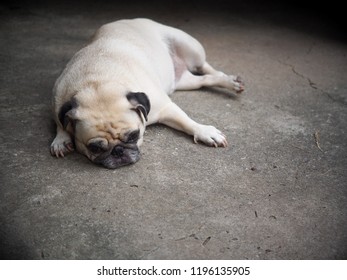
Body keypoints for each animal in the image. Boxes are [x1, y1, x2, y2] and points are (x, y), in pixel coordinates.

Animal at [51, 19, 245, 170]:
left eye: (134, 136)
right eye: (95, 148)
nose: (118, 151)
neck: (97, 80)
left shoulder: (165, 107)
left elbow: (187, 122)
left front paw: (204, 131)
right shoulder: (59, 98)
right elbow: (60, 121)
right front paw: (61, 139)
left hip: (191, 48)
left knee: (205, 66)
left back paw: (230, 80)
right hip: (186, 81)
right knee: (205, 79)